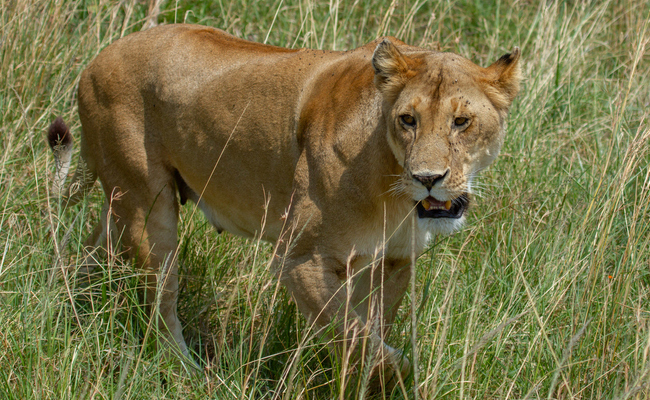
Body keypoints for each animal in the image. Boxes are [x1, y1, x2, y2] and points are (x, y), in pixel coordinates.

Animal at [47, 24, 521, 388]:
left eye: (461, 122)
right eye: (408, 120)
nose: (428, 179)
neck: (394, 191)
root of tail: (95, 61)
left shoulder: (394, 262)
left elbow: (367, 335)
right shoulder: (302, 260)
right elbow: (365, 342)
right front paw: (402, 373)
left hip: (121, 204)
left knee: (89, 253)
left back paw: (69, 309)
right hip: (149, 208)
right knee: (161, 305)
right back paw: (189, 373)